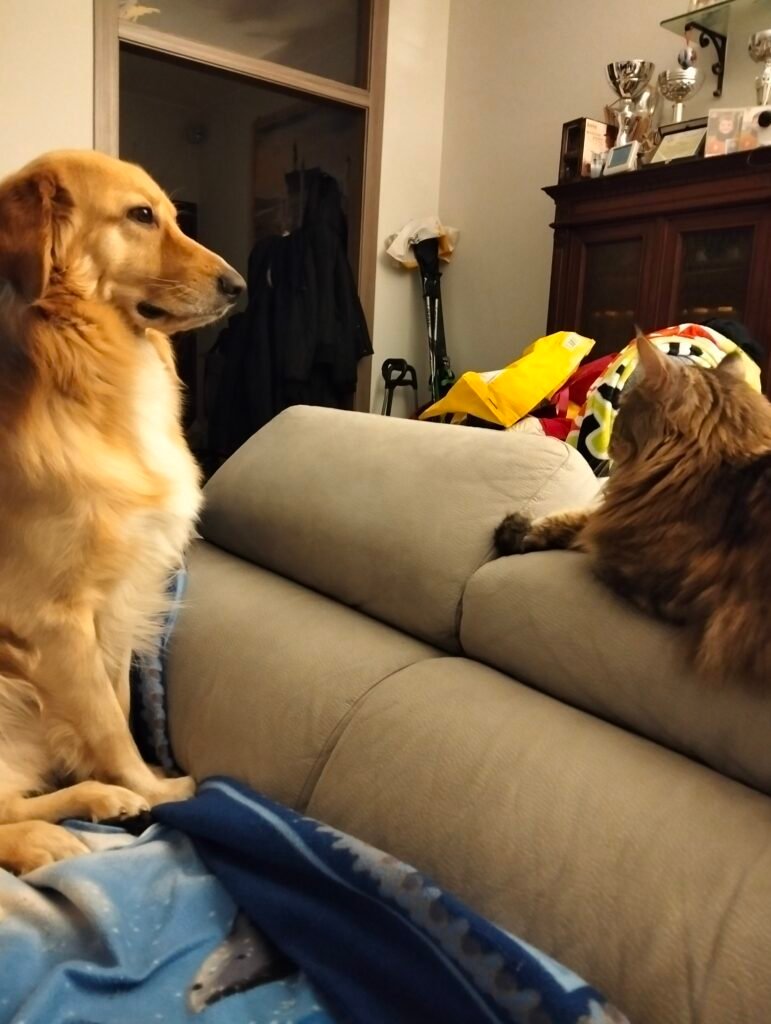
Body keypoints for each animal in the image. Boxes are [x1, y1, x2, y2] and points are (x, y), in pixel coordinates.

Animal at [0, 150, 245, 873]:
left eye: (171, 213)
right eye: (140, 216)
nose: (239, 286)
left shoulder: (111, 604)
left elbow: (118, 702)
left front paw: (134, 785)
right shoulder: (53, 621)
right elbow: (110, 727)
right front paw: (156, 789)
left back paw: (96, 801)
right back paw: (55, 835)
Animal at [495, 331, 771, 687]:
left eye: (624, 412)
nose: (608, 442)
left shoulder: (631, 567)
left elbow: (586, 536)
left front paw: (519, 533)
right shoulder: (615, 515)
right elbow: (576, 520)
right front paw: (522, 529)